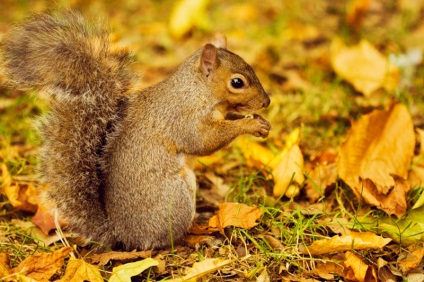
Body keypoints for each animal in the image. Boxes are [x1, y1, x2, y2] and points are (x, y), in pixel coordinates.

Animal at [0, 11, 270, 250]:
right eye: (237, 82)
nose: (266, 102)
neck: (198, 90)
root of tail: (123, 235)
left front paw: (259, 122)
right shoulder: (183, 117)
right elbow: (204, 141)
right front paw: (249, 124)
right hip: (176, 197)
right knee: (167, 241)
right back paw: (198, 237)